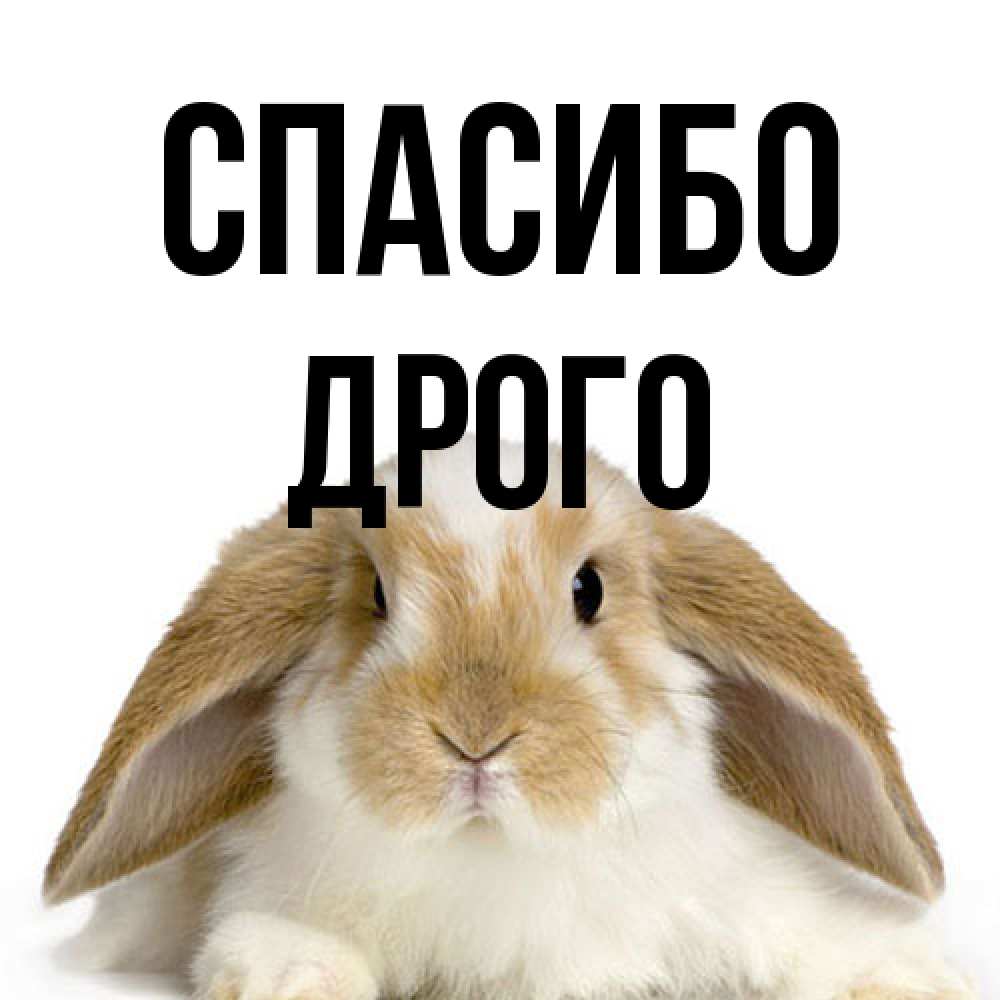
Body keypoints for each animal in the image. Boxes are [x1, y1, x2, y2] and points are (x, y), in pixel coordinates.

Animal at [45, 438, 975, 1000]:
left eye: (589, 589)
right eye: (375, 596)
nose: (475, 737)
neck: (495, 857)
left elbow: (818, 939)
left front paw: (909, 978)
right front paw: (290, 977)